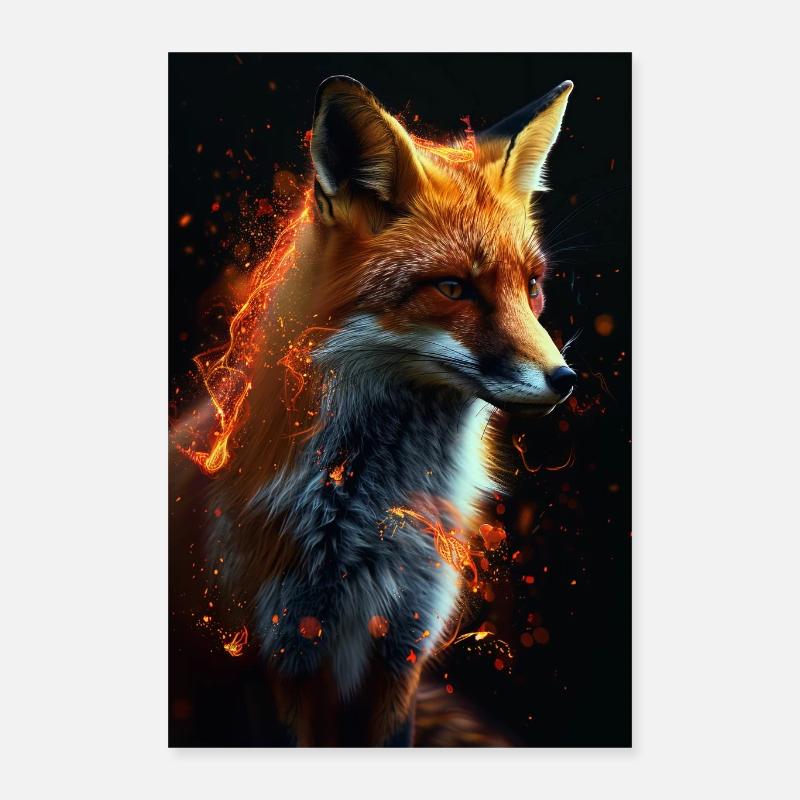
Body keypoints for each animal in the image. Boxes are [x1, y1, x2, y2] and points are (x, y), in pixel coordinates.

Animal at [203, 75, 577, 746]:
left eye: (532, 286)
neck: (370, 527)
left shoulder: (403, 647)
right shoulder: (279, 654)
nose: (565, 380)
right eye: (453, 288)